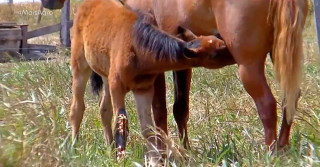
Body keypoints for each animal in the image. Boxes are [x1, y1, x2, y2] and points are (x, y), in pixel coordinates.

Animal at [126, 0, 308, 150]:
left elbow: (159, 112)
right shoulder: (182, 60)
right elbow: (180, 109)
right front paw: (186, 152)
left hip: (248, 66)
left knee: (267, 104)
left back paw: (271, 152)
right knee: (289, 99)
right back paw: (282, 147)